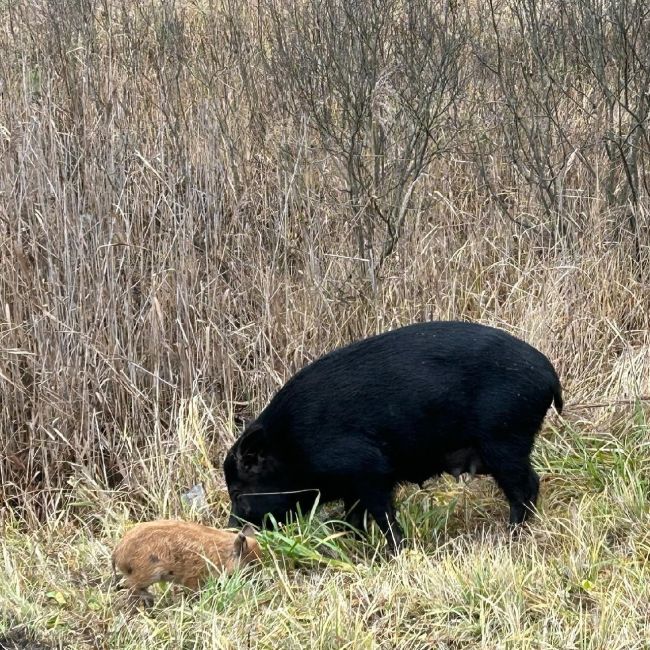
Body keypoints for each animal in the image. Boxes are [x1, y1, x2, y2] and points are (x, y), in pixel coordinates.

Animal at [221, 318, 556, 552]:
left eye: (238, 492)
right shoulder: (352, 485)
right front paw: (356, 545)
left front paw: (396, 551)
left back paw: (511, 536)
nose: (231, 530)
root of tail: (549, 376)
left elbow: (382, 515)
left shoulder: (368, 469)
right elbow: (353, 517)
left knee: (525, 486)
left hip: (504, 440)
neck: (291, 446)